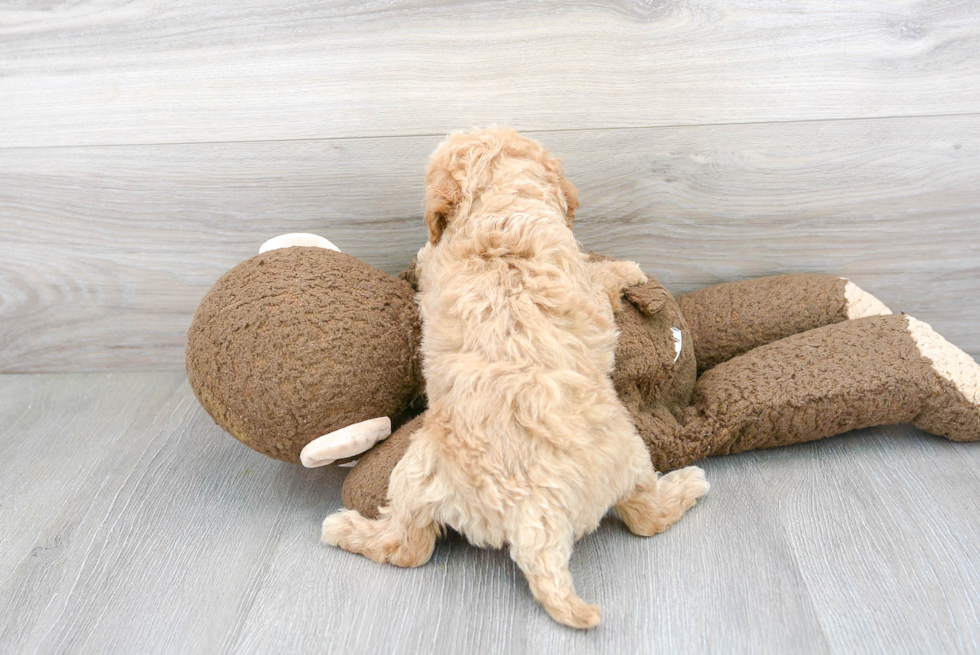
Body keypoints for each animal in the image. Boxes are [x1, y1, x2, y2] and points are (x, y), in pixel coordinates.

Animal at [326, 128, 708, 632]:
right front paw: (627, 269)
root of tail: (531, 514)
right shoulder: (584, 284)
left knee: (409, 547)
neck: (500, 210)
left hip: (417, 473)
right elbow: (601, 276)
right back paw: (688, 485)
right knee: (646, 517)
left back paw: (347, 530)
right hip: (629, 454)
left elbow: (430, 256)